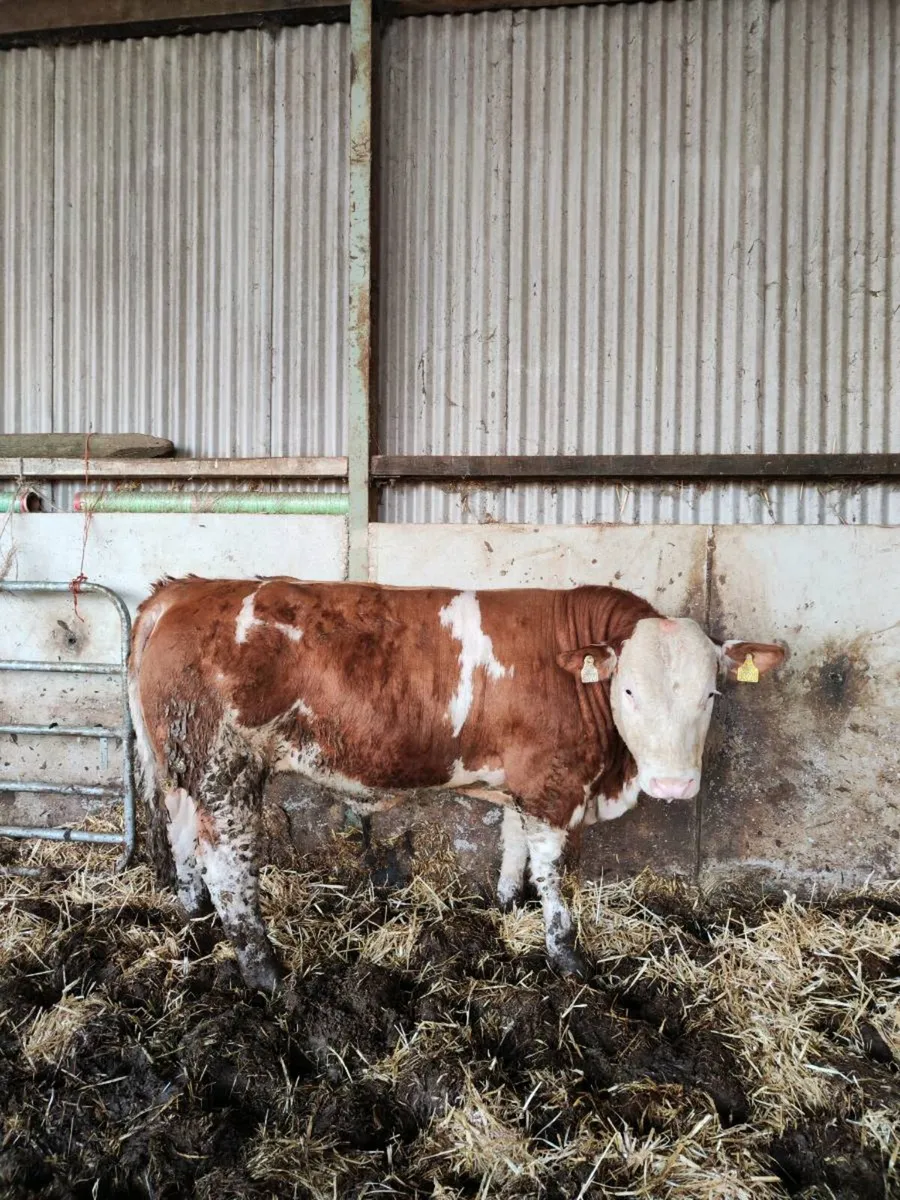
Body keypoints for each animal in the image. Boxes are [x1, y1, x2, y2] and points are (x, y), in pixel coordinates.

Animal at [128, 576, 786, 991]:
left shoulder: (525, 784)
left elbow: (514, 848)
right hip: (227, 770)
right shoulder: (555, 786)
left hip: (183, 772)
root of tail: (186, 589)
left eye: (710, 694)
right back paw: (264, 971)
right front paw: (567, 960)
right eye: (628, 690)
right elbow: (554, 876)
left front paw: (505, 906)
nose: (674, 785)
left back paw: (193, 920)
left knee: (185, 845)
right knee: (228, 867)